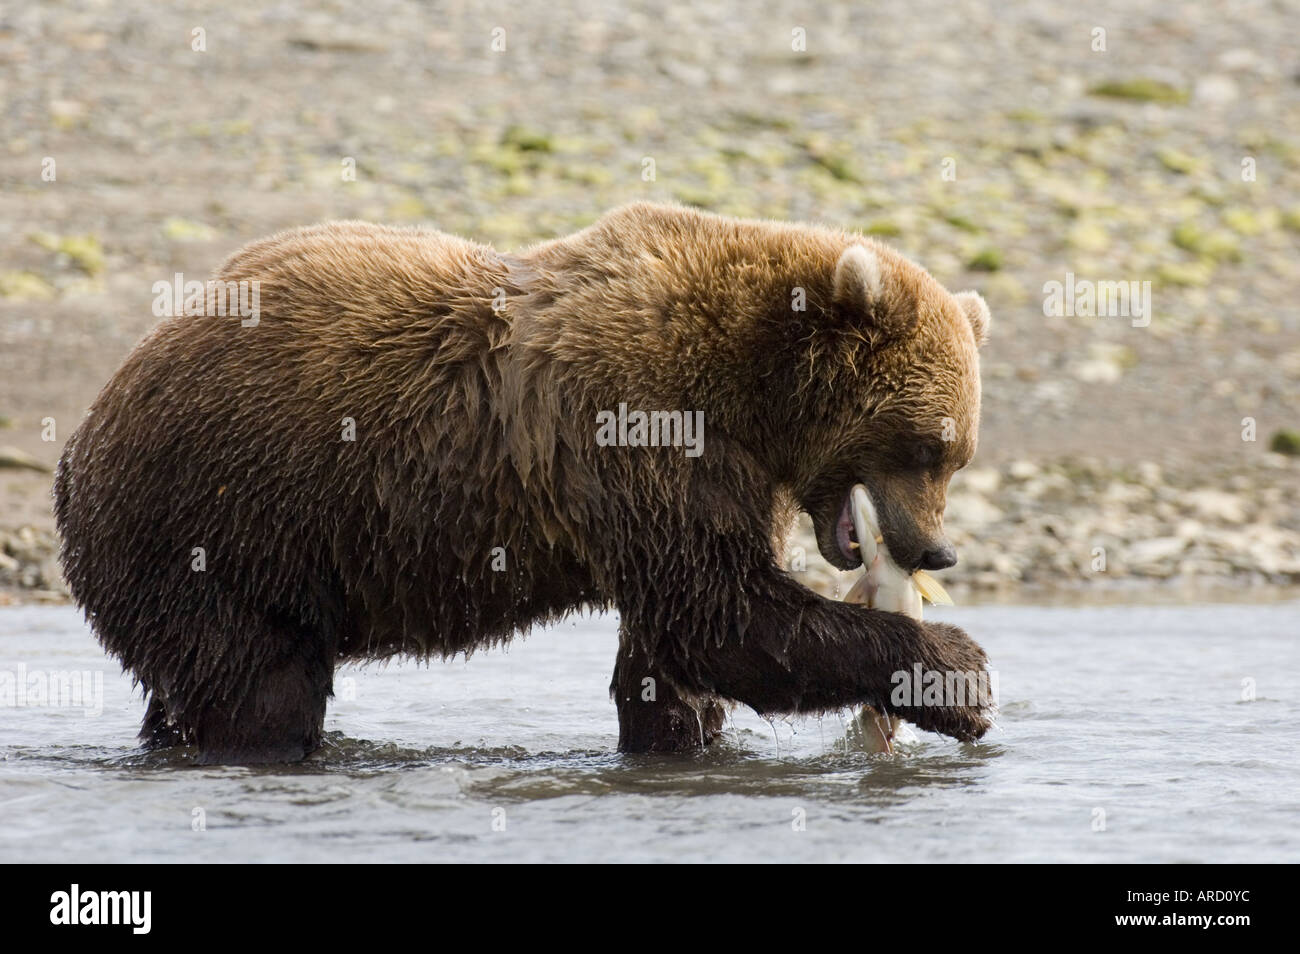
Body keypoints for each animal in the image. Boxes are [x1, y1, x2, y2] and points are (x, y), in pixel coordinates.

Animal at [55, 201, 993, 764]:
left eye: (959, 454)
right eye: (925, 444)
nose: (934, 549)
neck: (745, 392)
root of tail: (88, 428)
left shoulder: (711, 479)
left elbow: (674, 648)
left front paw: (679, 736)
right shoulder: (640, 430)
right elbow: (724, 615)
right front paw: (959, 673)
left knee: (183, 684)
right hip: (210, 529)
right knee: (260, 687)